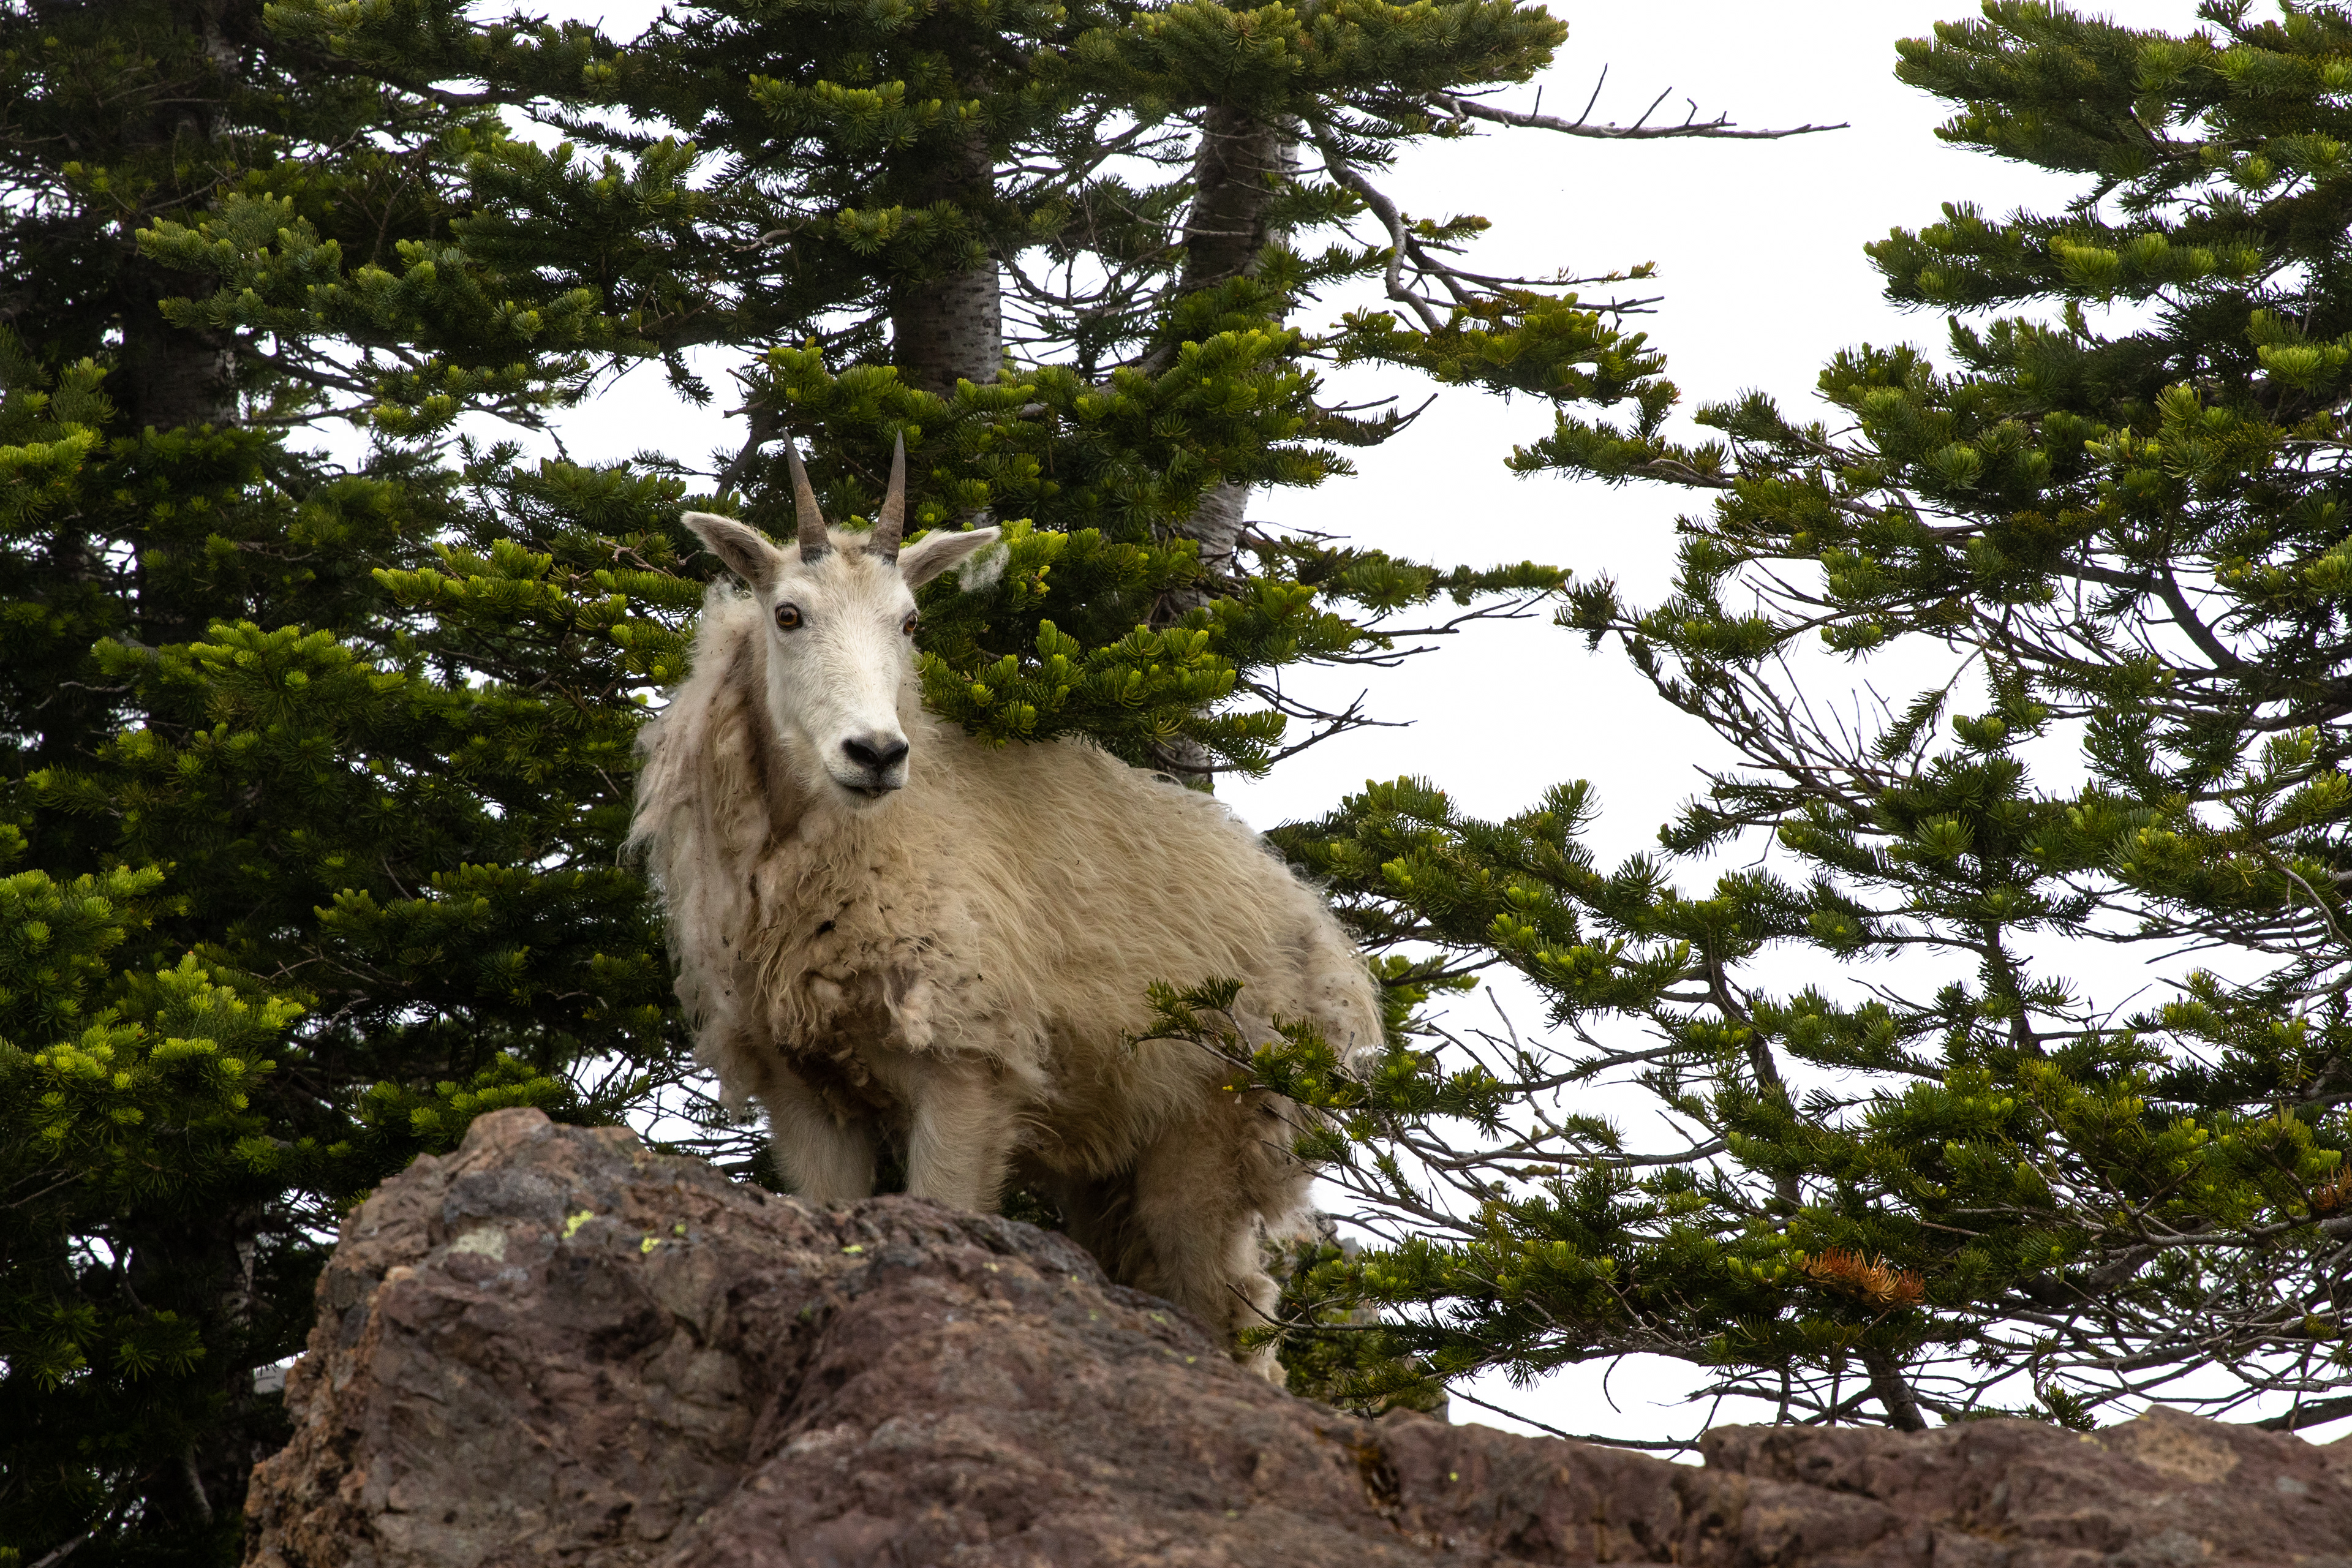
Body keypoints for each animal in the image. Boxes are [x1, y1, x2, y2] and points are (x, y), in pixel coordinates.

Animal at [629, 442, 1382, 1370]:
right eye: (789, 614)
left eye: (911, 623)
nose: (876, 754)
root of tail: (1336, 959)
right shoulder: (804, 1087)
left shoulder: (969, 1068)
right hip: (1107, 1169)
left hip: (1217, 1132)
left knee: (1238, 1322)